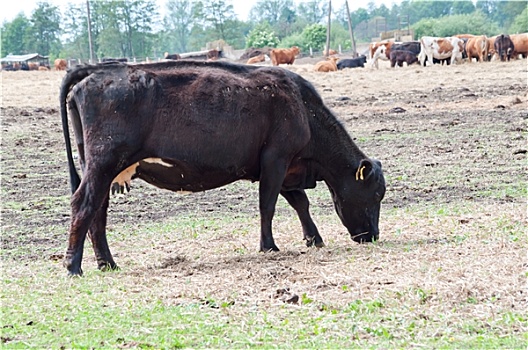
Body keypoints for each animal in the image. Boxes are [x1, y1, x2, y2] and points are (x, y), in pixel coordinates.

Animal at [59, 61, 386, 278]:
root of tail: (98, 70)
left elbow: (300, 203)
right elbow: (268, 205)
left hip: (102, 169)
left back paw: (107, 263)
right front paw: (269, 246)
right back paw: (73, 266)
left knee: (98, 212)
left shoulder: (286, 167)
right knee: (83, 204)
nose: (372, 235)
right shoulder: (276, 160)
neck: (304, 109)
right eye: (375, 195)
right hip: (103, 164)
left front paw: (313, 239)